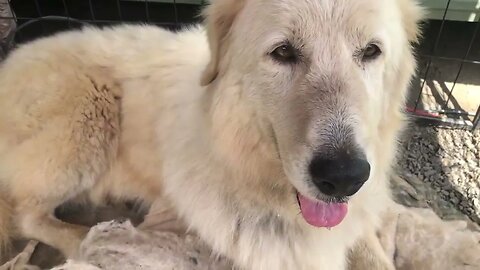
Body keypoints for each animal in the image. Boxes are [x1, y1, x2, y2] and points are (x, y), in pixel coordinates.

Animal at [0, 1, 420, 268]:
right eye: (283, 52)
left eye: (370, 51)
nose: (344, 177)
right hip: (87, 124)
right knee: (26, 217)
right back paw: (85, 240)